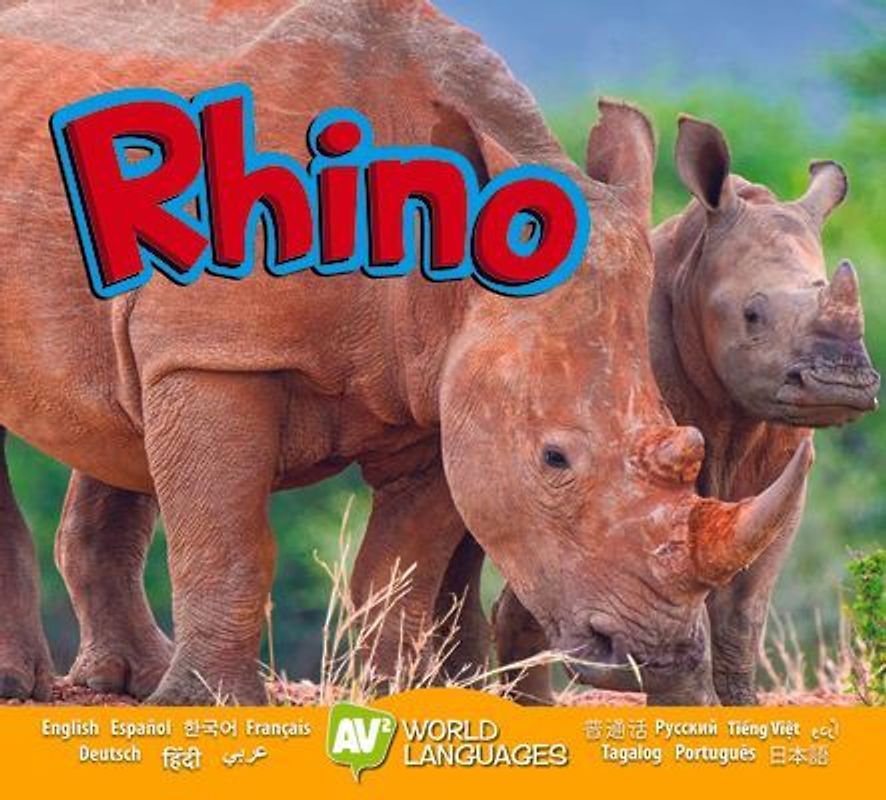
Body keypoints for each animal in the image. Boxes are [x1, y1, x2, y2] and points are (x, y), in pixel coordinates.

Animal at [0, 0, 811, 706]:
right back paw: (38, 688)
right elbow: (230, 543)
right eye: (554, 459)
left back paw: (126, 683)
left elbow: (399, 567)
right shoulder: (217, 353)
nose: (658, 656)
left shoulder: (439, 388)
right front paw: (209, 705)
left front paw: (393, 696)